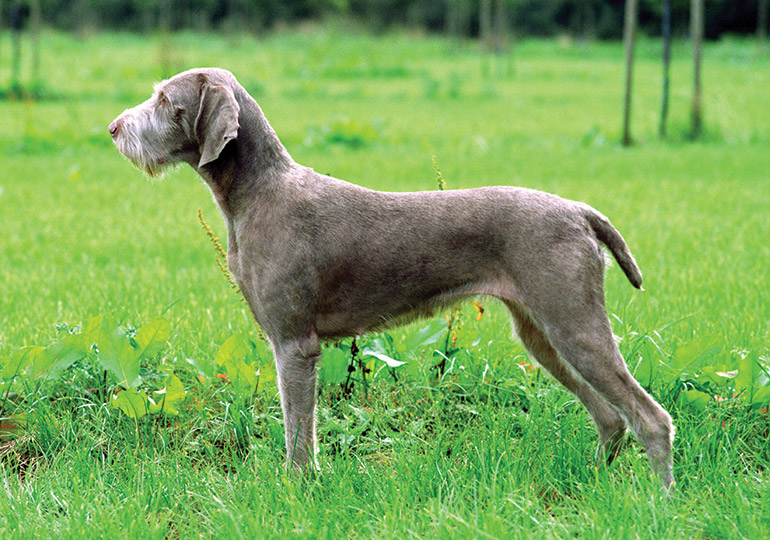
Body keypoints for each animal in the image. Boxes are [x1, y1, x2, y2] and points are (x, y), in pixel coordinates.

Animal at [109, 67, 672, 490]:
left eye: (165, 99)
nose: (113, 128)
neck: (256, 192)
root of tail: (580, 211)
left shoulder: (294, 344)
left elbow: (299, 435)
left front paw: (298, 489)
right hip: (541, 334)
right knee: (611, 418)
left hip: (573, 322)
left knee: (650, 418)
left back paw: (661, 500)